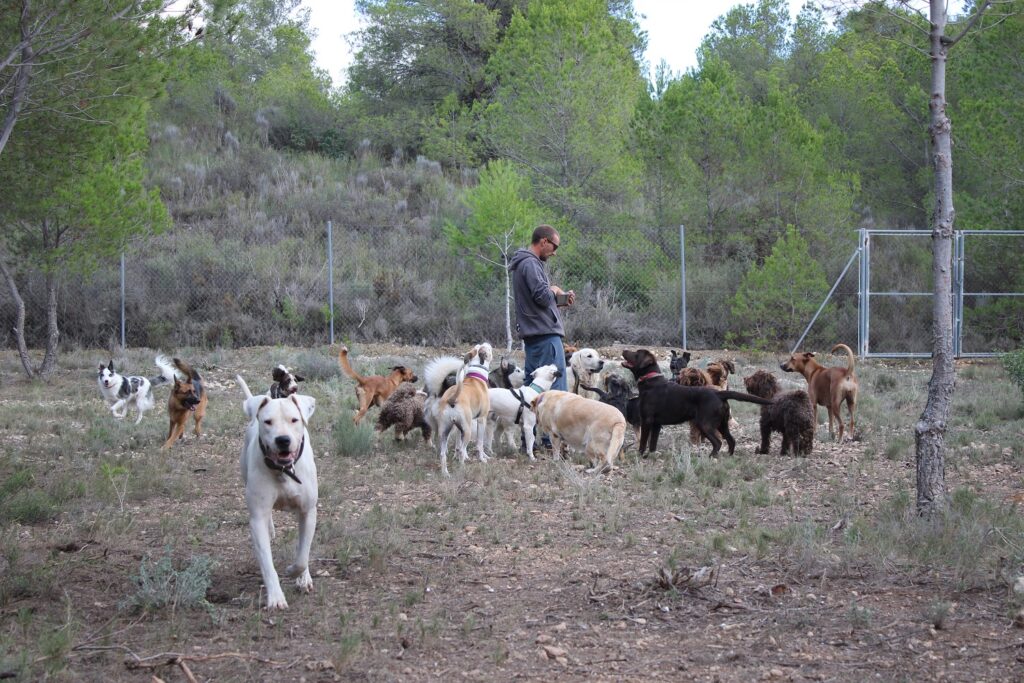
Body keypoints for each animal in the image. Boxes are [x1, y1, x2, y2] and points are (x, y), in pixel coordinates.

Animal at [236, 375, 317, 610]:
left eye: (294, 420)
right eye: (268, 421)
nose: (283, 440)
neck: (284, 470)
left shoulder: (308, 511)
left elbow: (302, 556)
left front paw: (299, 575)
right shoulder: (257, 518)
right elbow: (267, 563)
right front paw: (275, 597)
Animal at [435, 343, 493, 476]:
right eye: (486, 347)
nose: (488, 343)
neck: (476, 375)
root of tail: (452, 398)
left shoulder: (458, 427)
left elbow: (458, 444)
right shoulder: (481, 419)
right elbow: (479, 444)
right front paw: (482, 459)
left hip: (444, 431)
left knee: (443, 453)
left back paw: (445, 473)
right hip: (467, 431)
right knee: (462, 449)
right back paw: (462, 469)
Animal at [621, 348, 771, 457]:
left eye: (636, 354)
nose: (624, 350)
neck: (651, 381)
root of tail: (719, 394)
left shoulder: (646, 421)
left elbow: (643, 442)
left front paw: (639, 455)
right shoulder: (656, 424)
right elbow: (652, 443)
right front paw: (651, 455)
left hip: (705, 424)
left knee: (718, 442)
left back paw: (711, 456)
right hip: (722, 424)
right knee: (731, 440)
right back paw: (728, 455)